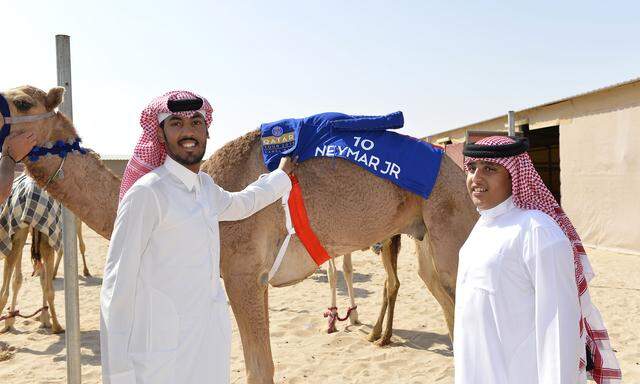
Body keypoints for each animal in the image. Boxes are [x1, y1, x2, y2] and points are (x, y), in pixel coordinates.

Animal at [1, 85, 480, 382]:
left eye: (21, 101)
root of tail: (462, 172)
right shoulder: (253, 278)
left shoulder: (243, 274)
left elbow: (259, 369)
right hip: (423, 234)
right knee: (445, 305)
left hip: (453, 226)